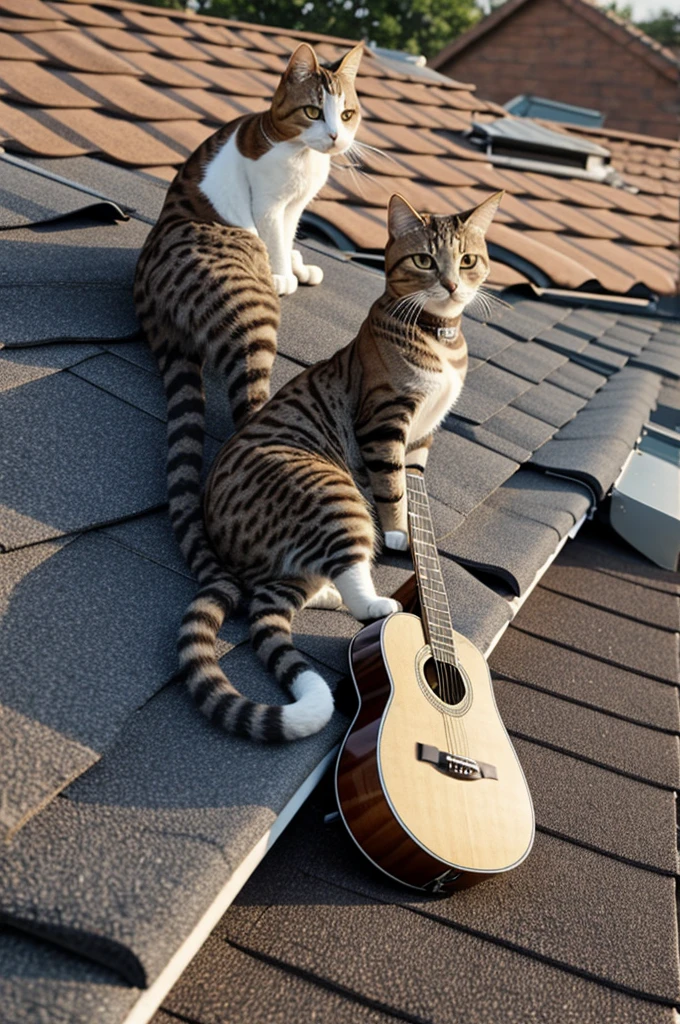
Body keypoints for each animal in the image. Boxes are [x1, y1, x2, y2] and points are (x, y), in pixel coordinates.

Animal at [135, 44, 364, 593]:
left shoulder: (298, 207)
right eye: (313, 111)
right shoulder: (270, 206)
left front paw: (300, 268)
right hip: (248, 306)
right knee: (250, 410)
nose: (334, 137)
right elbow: (278, 237)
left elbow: (296, 233)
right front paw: (284, 275)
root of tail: (149, 299)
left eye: (346, 115)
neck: (302, 155)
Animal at [178, 188, 501, 741]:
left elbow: (411, 479)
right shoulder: (385, 421)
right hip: (333, 489)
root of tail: (237, 555)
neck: (441, 339)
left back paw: (327, 593)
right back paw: (376, 602)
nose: (451, 284)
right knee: (350, 567)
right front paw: (399, 533)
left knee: (293, 587)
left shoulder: (424, 438)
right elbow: (392, 486)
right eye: (424, 261)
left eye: (467, 260)